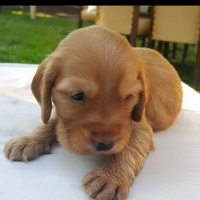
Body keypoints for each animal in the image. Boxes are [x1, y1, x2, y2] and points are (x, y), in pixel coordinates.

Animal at [4, 25, 183, 200]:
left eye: (128, 97)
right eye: (76, 95)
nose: (106, 145)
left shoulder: (140, 125)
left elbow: (130, 147)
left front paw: (110, 177)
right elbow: (50, 122)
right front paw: (27, 141)